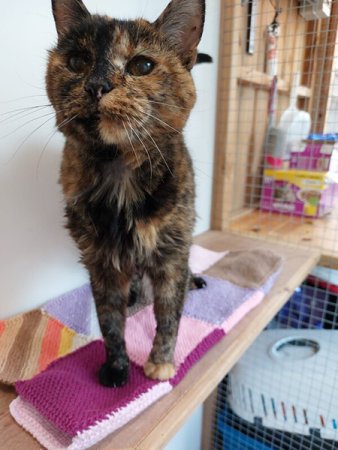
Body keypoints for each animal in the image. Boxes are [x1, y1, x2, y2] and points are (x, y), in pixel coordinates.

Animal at [47, 0, 206, 386]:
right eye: (78, 61)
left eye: (142, 66)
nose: (96, 85)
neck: (120, 172)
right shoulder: (100, 260)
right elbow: (109, 320)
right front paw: (117, 367)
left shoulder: (172, 254)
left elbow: (169, 314)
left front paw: (160, 363)